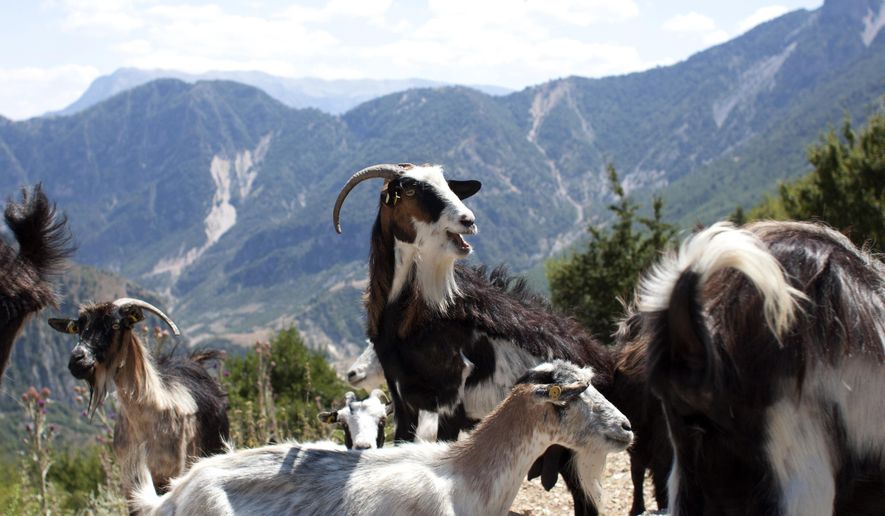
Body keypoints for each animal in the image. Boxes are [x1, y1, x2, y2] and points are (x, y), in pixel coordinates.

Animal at [48, 298, 230, 504]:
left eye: (115, 324)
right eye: (78, 328)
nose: (77, 361)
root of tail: (194, 361)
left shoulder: (173, 473)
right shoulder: (129, 482)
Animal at [333, 163, 618, 515]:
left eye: (448, 185)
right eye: (410, 188)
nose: (468, 220)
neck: (410, 318)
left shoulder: (451, 398)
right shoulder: (403, 400)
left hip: (579, 444)